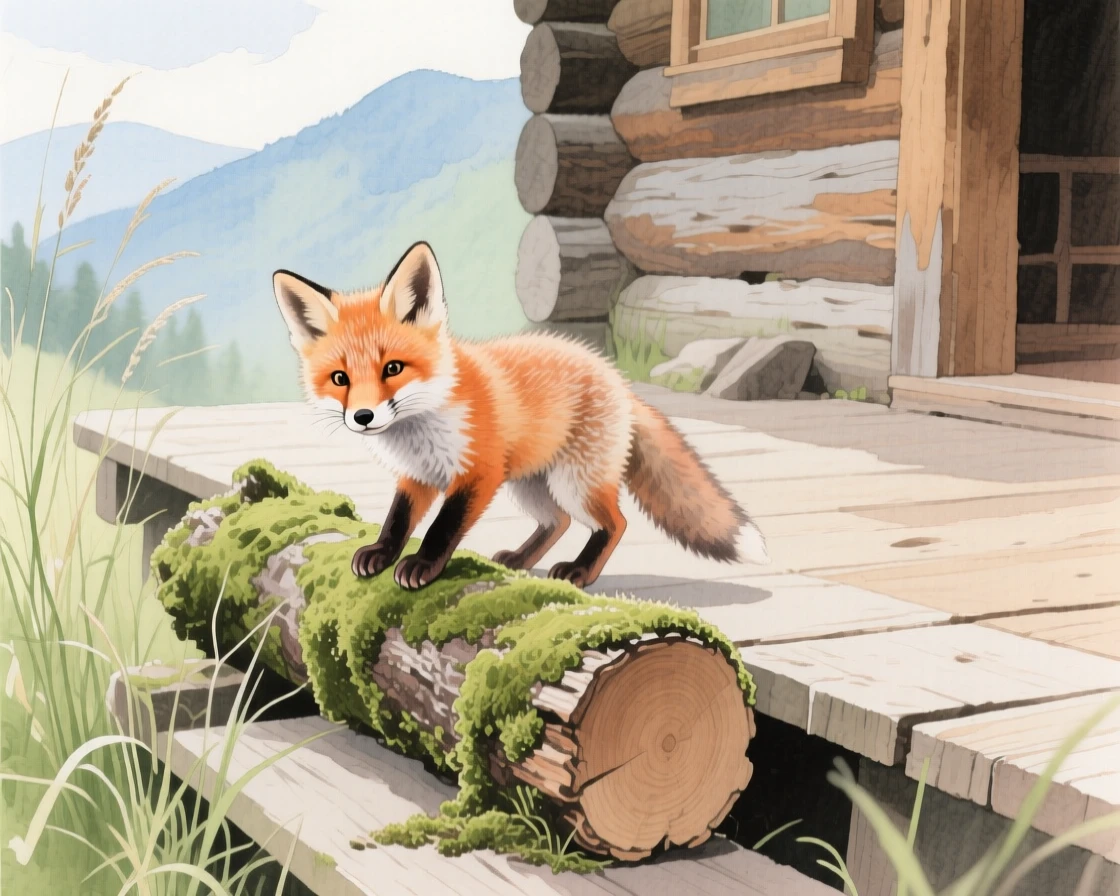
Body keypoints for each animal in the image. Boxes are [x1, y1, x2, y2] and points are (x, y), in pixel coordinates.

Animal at [272, 241, 768, 591]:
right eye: (340, 378)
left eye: (392, 368)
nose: (363, 416)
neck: (422, 424)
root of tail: (618, 380)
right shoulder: (417, 476)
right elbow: (398, 520)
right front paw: (381, 551)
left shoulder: (479, 471)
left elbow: (441, 529)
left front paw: (423, 565)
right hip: (530, 484)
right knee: (558, 522)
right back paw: (521, 560)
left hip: (572, 483)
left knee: (615, 523)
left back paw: (581, 572)